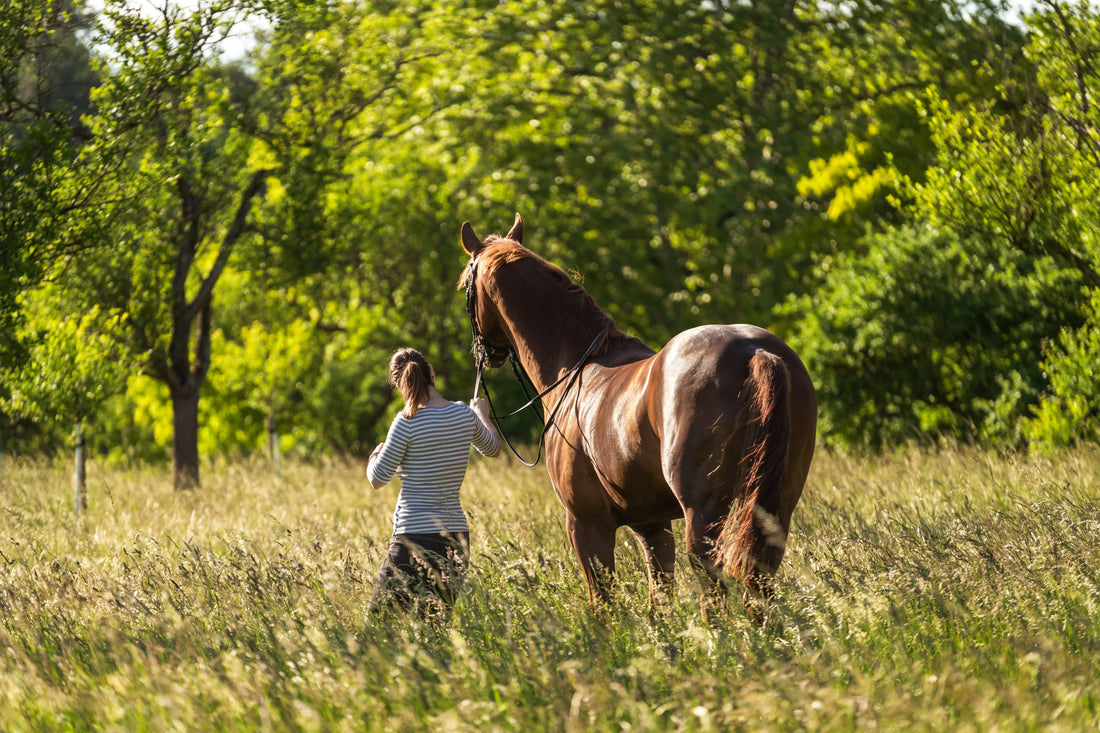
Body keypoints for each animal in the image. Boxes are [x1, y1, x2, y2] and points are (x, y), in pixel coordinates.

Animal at [460, 214, 817, 610]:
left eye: (465, 285)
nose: (484, 352)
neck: (575, 366)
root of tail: (755, 351)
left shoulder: (586, 523)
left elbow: (603, 603)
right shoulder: (652, 526)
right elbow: (659, 599)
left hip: (704, 516)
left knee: (713, 591)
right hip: (774, 509)